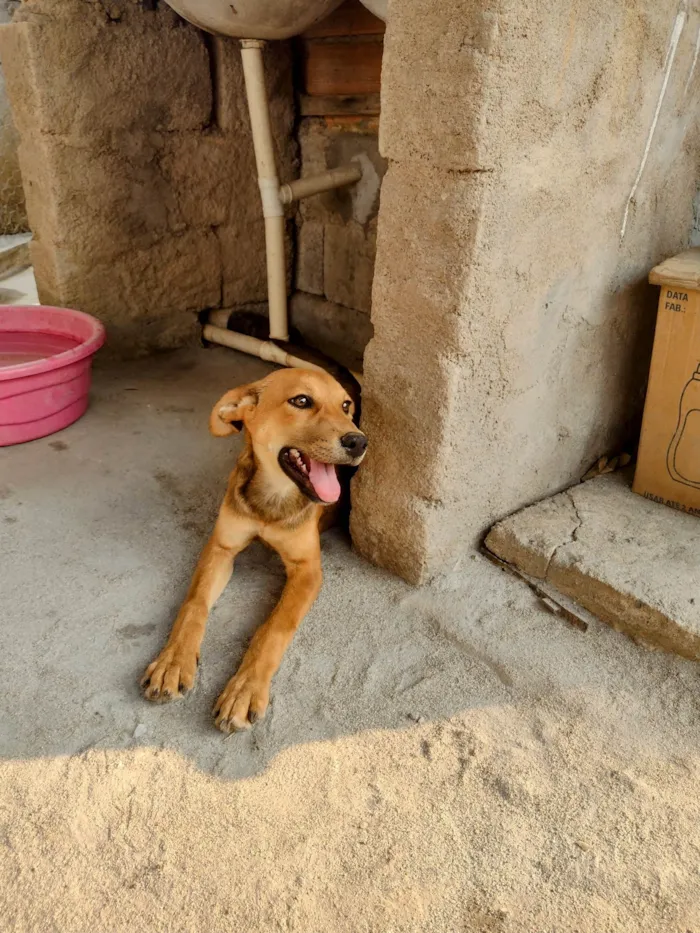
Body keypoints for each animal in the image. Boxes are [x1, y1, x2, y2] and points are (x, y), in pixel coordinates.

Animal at [144, 368, 372, 732]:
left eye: (345, 406)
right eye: (301, 400)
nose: (359, 442)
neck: (272, 499)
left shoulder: (307, 569)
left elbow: (274, 628)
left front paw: (244, 689)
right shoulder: (221, 547)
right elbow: (193, 604)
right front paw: (173, 662)